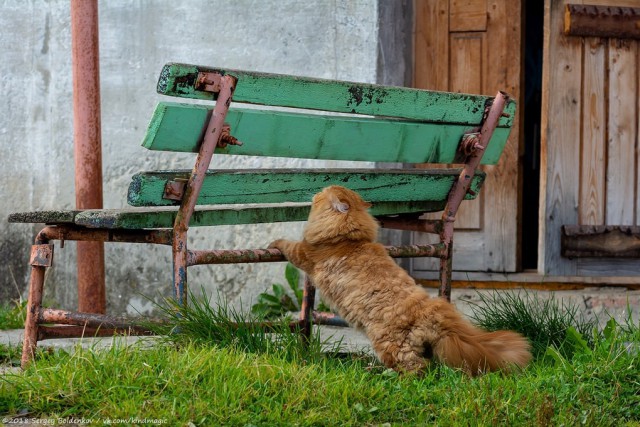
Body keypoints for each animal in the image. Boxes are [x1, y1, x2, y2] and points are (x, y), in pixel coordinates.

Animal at [268, 186, 528, 376]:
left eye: (322, 194)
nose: (316, 192)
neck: (349, 239)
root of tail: (433, 312)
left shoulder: (305, 254)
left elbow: (286, 244)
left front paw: (273, 242)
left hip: (390, 345)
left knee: (417, 369)